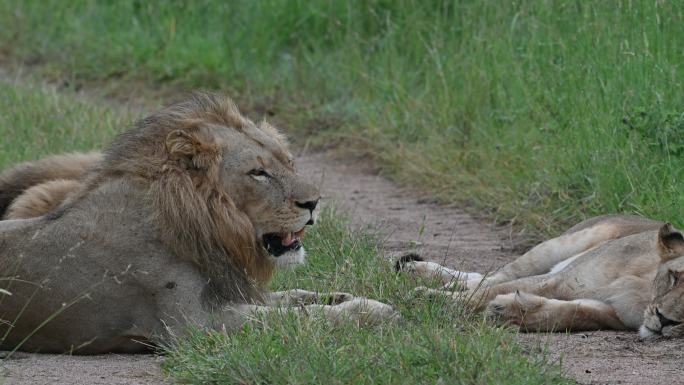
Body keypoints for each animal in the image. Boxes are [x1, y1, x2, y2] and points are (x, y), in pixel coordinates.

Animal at [0, 91, 398, 352]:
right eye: (258, 173)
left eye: (288, 161)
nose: (314, 202)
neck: (207, 228)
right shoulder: (194, 325)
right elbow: (298, 318)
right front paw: (372, 311)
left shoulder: (227, 291)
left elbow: (293, 298)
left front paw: (345, 296)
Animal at [398, 214, 684, 338]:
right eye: (675, 277)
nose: (665, 320)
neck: (644, 290)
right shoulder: (559, 280)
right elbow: (484, 293)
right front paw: (429, 300)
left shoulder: (613, 314)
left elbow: (573, 314)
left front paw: (508, 311)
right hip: (561, 245)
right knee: (497, 276)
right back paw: (418, 273)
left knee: (485, 277)